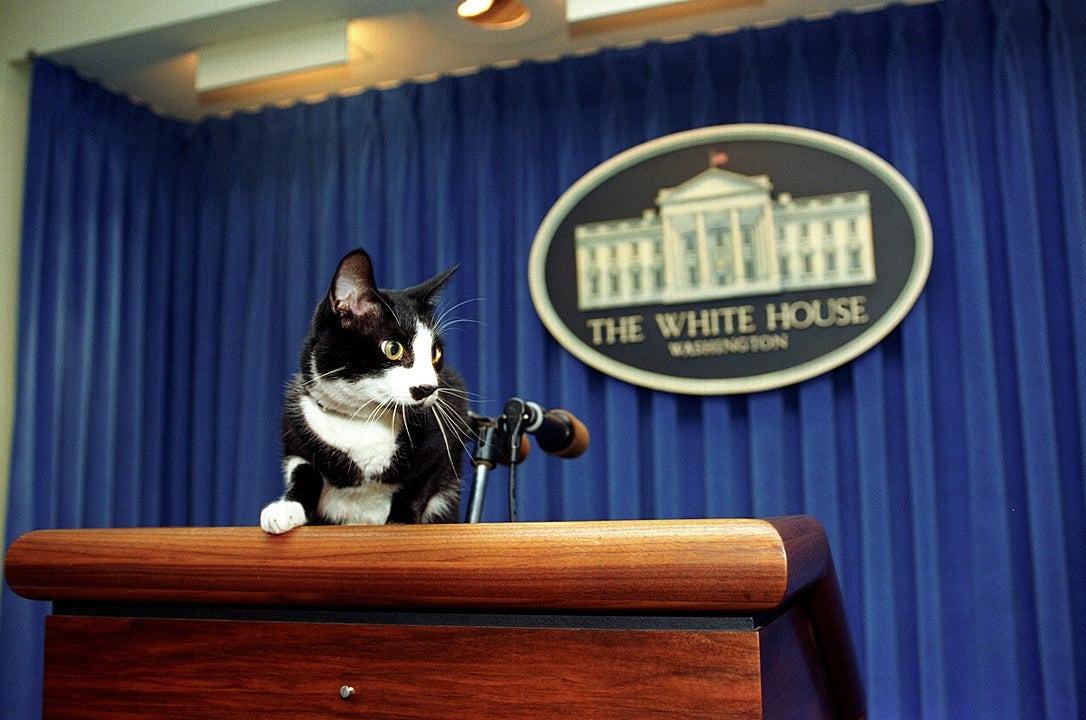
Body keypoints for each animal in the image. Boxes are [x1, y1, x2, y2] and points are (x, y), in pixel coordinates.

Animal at [261, 249, 471, 534]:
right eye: (393, 348)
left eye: (435, 353)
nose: (428, 388)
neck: (362, 419)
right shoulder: (295, 430)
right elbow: (303, 471)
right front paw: (284, 510)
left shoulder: (447, 430)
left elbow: (419, 485)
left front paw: (400, 521)